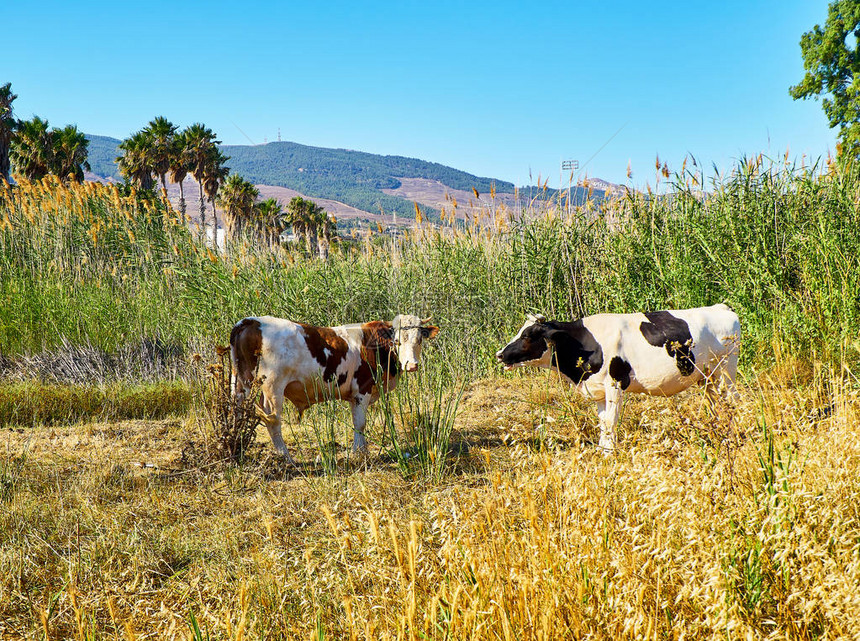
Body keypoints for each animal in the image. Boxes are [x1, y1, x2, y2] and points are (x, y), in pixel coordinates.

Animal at [232, 314, 440, 460]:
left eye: (419, 340)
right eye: (397, 341)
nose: (412, 365)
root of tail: (250, 321)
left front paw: (361, 451)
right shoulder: (362, 391)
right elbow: (360, 423)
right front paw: (358, 453)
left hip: (240, 383)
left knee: (237, 412)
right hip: (273, 387)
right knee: (273, 420)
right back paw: (286, 457)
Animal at [498, 304, 740, 450]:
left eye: (528, 335)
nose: (499, 354)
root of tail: (721, 308)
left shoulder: (615, 383)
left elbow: (611, 420)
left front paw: (610, 451)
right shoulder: (597, 390)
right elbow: (602, 421)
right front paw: (603, 448)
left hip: (726, 369)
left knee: (733, 400)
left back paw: (736, 433)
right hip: (706, 377)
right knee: (716, 404)